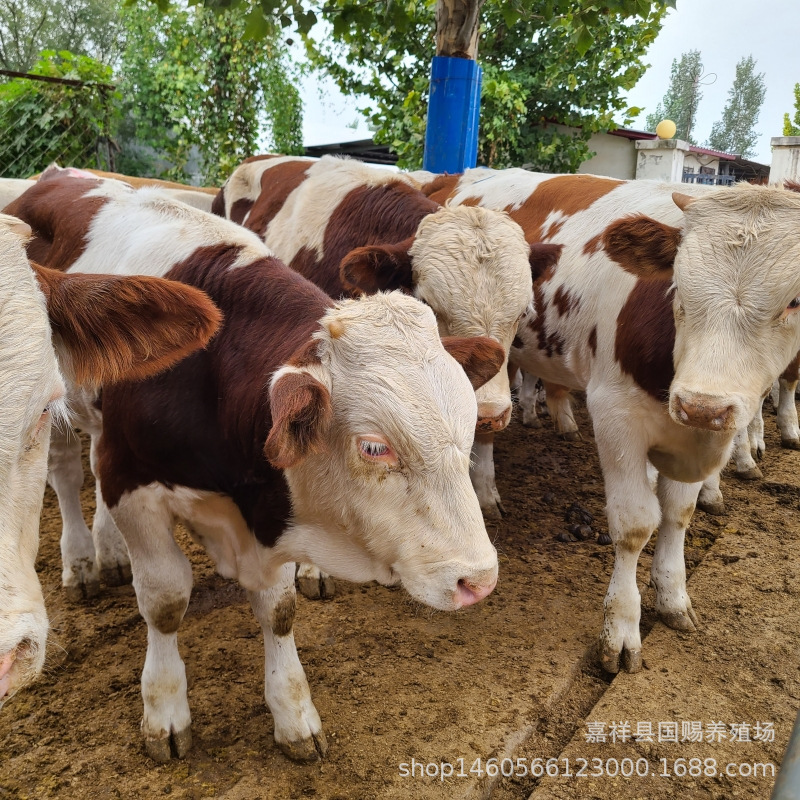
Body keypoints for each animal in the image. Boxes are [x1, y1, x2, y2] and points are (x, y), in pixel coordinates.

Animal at [416, 169, 800, 676]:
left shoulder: (695, 433)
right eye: (678, 286)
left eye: (795, 301)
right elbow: (635, 524)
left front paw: (673, 596)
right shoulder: (616, 415)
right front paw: (621, 630)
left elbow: (678, 513)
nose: (703, 405)